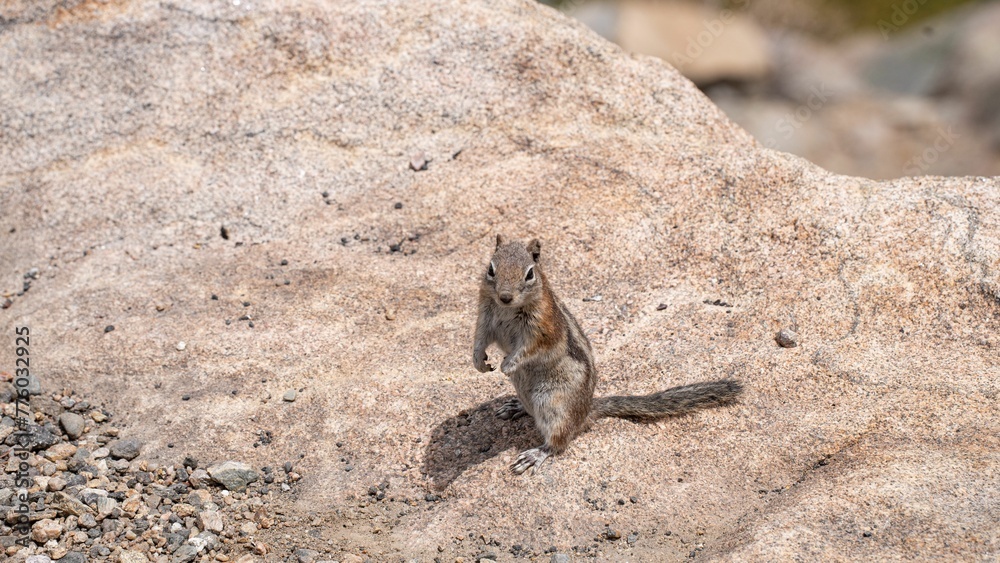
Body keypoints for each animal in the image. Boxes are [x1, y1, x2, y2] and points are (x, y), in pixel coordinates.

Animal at [473, 235, 743, 474]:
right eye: (491, 268)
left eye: (529, 273)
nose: (505, 297)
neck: (508, 309)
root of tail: (586, 411)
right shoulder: (486, 317)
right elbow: (479, 339)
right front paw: (478, 362)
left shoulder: (544, 328)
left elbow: (530, 349)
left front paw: (509, 364)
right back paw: (515, 406)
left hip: (554, 405)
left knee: (559, 441)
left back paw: (536, 454)